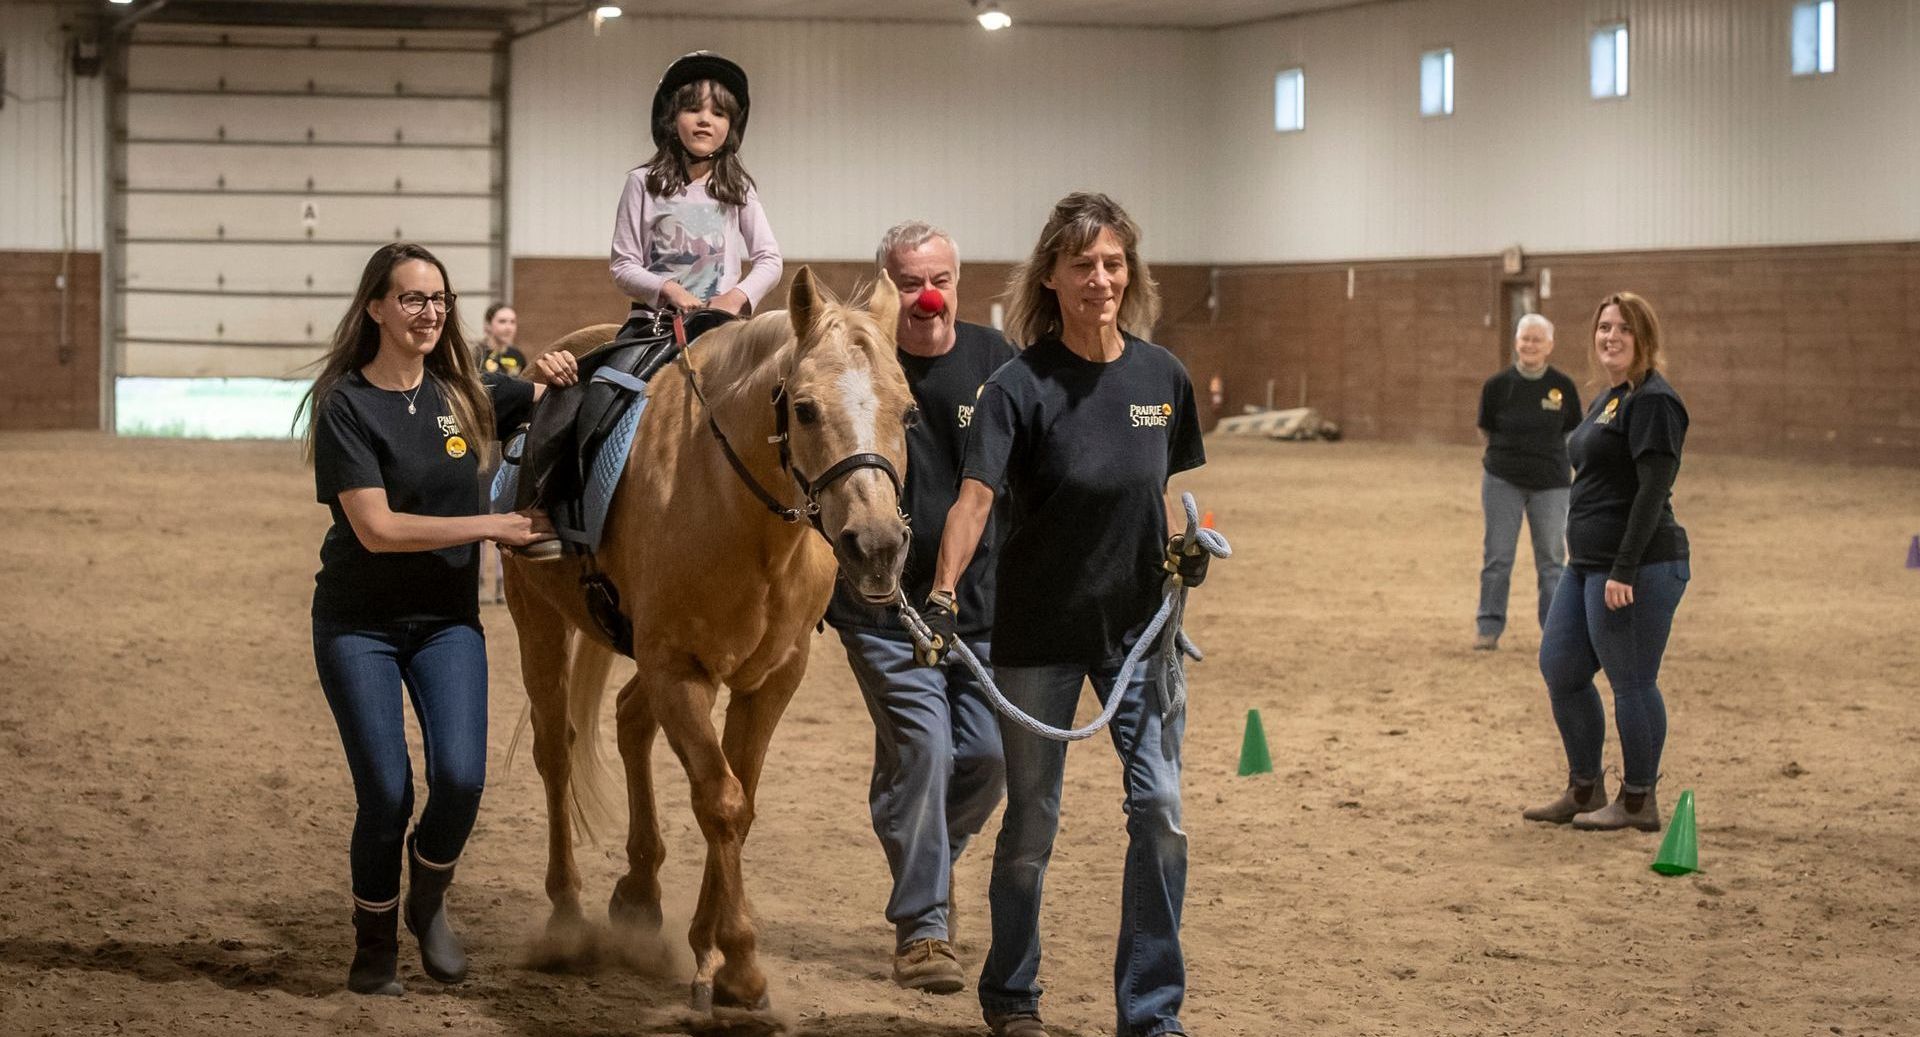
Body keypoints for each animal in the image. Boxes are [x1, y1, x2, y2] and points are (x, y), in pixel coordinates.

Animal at [495, 266, 913, 1013]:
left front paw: (709, 946)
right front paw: (739, 963)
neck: (740, 512)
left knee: (629, 720)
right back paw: (568, 916)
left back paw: (639, 895)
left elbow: (740, 800)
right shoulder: (679, 669)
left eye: (909, 411)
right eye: (804, 409)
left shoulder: (770, 678)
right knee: (556, 753)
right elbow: (719, 800)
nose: (877, 545)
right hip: (537, 620)